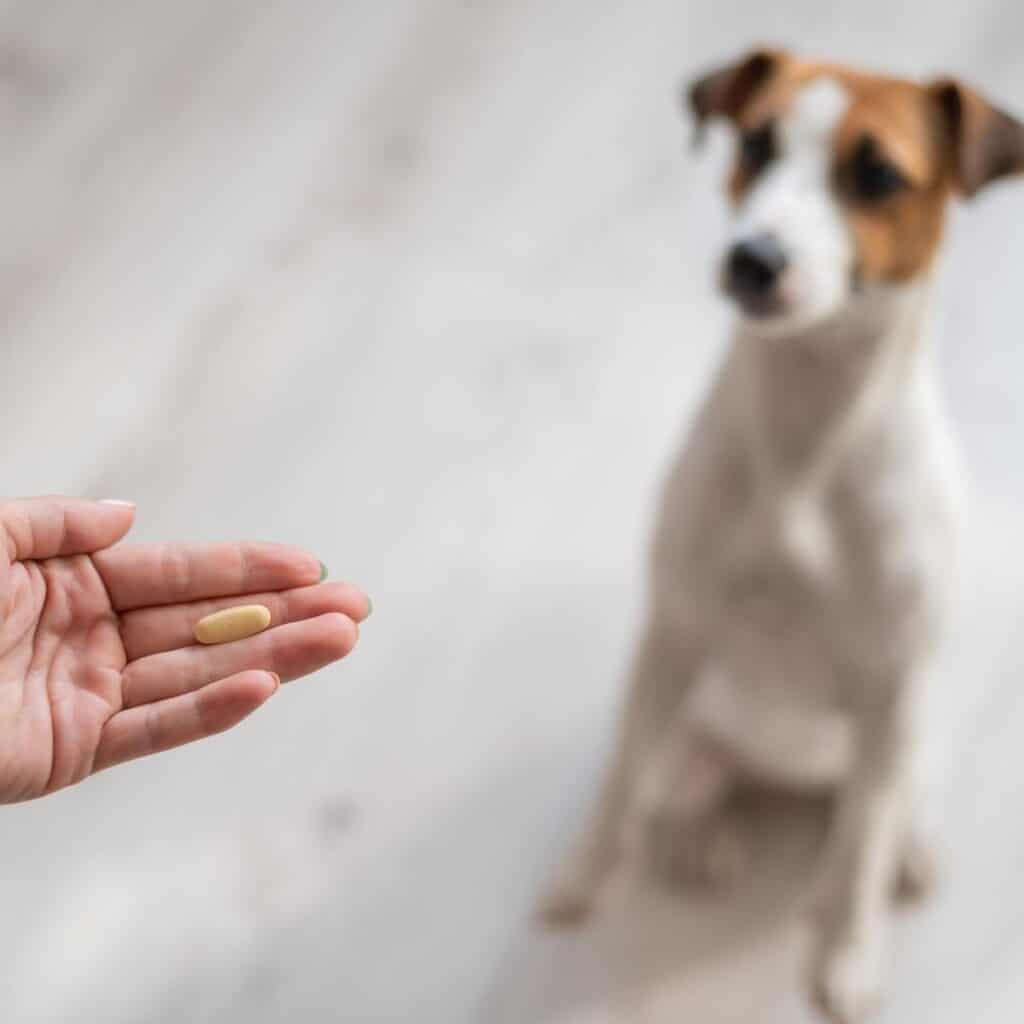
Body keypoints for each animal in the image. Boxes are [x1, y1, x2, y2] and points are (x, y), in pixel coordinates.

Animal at [536, 48, 1024, 1024]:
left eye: (878, 175)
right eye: (757, 143)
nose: (752, 257)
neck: (808, 429)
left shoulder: (893, 679)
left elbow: (857, 858)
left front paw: (848, 957)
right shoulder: (674, 631)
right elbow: (617, 787)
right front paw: (584, 872)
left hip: (909, 730)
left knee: (883, 808)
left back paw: (910, 846)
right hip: (693, 723)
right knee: (669, 778)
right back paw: (695, 833)